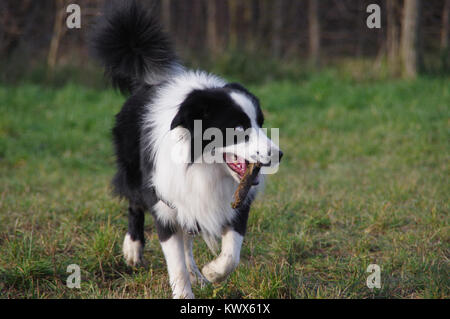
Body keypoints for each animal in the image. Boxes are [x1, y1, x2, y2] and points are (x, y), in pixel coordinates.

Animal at [90, 0, 282, 300]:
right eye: (239, 128)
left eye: (261, 123)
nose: (278, 154)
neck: (205, 167)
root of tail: (144, 82)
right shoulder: (166, 199)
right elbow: (175, 259)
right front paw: (184, 293)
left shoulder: (233, 201)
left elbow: (232, 252)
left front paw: (212, 272)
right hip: (135, 169)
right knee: (135, 203)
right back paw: (133, 249)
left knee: (188, 238)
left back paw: (197, 273)